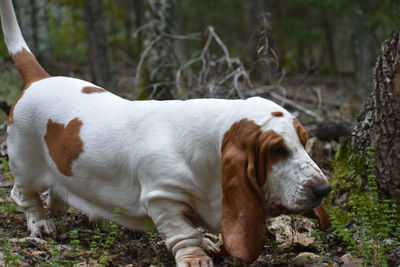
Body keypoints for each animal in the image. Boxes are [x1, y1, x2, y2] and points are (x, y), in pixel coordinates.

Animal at [0, 0, 332, 266]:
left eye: (304, 142)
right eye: (276, 150)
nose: (324, 190)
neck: (211, 146)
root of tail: (38, 79)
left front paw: (209, 242)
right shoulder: (163, 197)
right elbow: (184, 233)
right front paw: (196, 257)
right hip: (26, 166)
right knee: (24, 196)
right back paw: (41, 226)